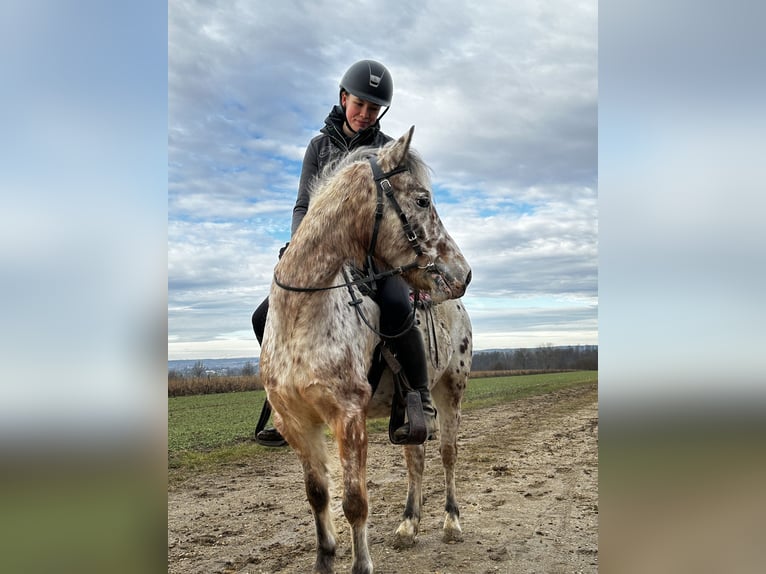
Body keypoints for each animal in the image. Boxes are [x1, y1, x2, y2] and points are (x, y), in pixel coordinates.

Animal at [260, 127, 472, 574]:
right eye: (423, 200)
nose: (464, 274)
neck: (302, 316)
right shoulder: (296, 423)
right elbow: (317, 496)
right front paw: (324, 560)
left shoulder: (348, 418)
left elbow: (355, 502)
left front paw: (361, 565)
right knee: (415, 459)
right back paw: (409, 526)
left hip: (451, 391)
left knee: (447, 454)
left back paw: (451, 522)